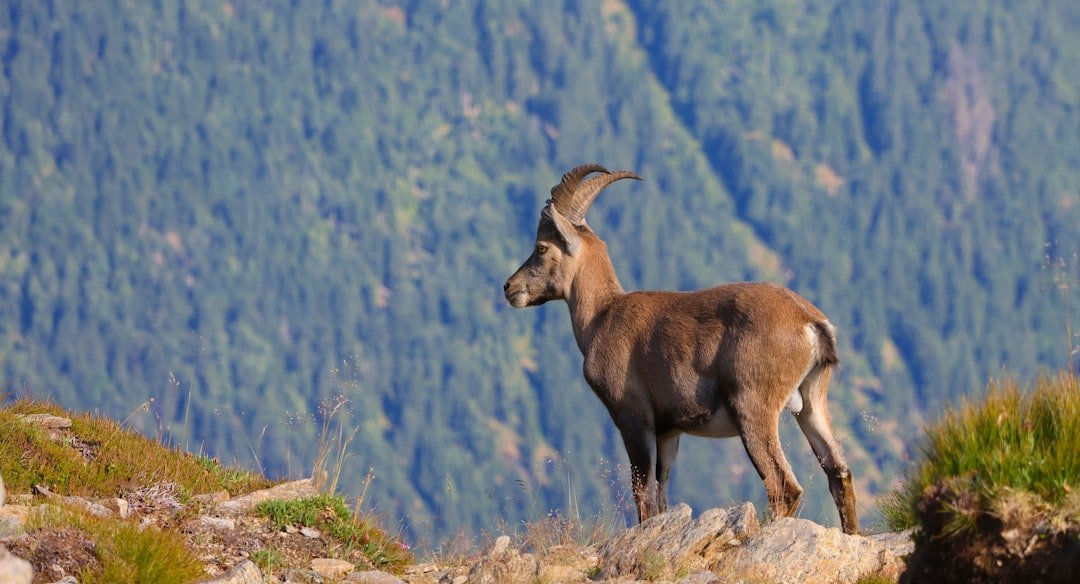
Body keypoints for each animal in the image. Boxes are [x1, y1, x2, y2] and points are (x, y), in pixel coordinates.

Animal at [503, 164, 859, 534]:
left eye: (541, 248)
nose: (509, 287)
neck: (602, 315)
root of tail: (811, 322)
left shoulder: (633, 415)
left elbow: (643, 492)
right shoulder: (668, 430)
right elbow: (662, 493)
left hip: (753, 406)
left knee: (783, 485)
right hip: (812, 402)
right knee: (839, 473)